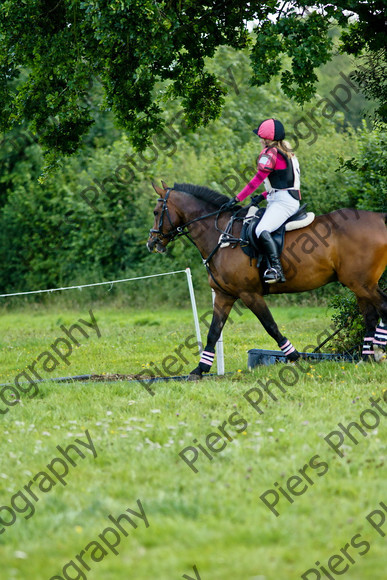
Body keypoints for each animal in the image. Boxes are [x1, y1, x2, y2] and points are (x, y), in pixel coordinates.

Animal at [148, 182, 387, 380]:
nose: (152, 243)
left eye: (156, 212)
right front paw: (200, 369)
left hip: (362, 284)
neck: (223, 236)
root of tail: (379, 218)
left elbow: (270, 325)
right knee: (370, 316)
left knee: (382, 307)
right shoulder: (225, 296)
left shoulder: (249, 294)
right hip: (358, 285)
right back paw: (366, 358)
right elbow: (213, 332)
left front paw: (295, 358)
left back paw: (378, 351)